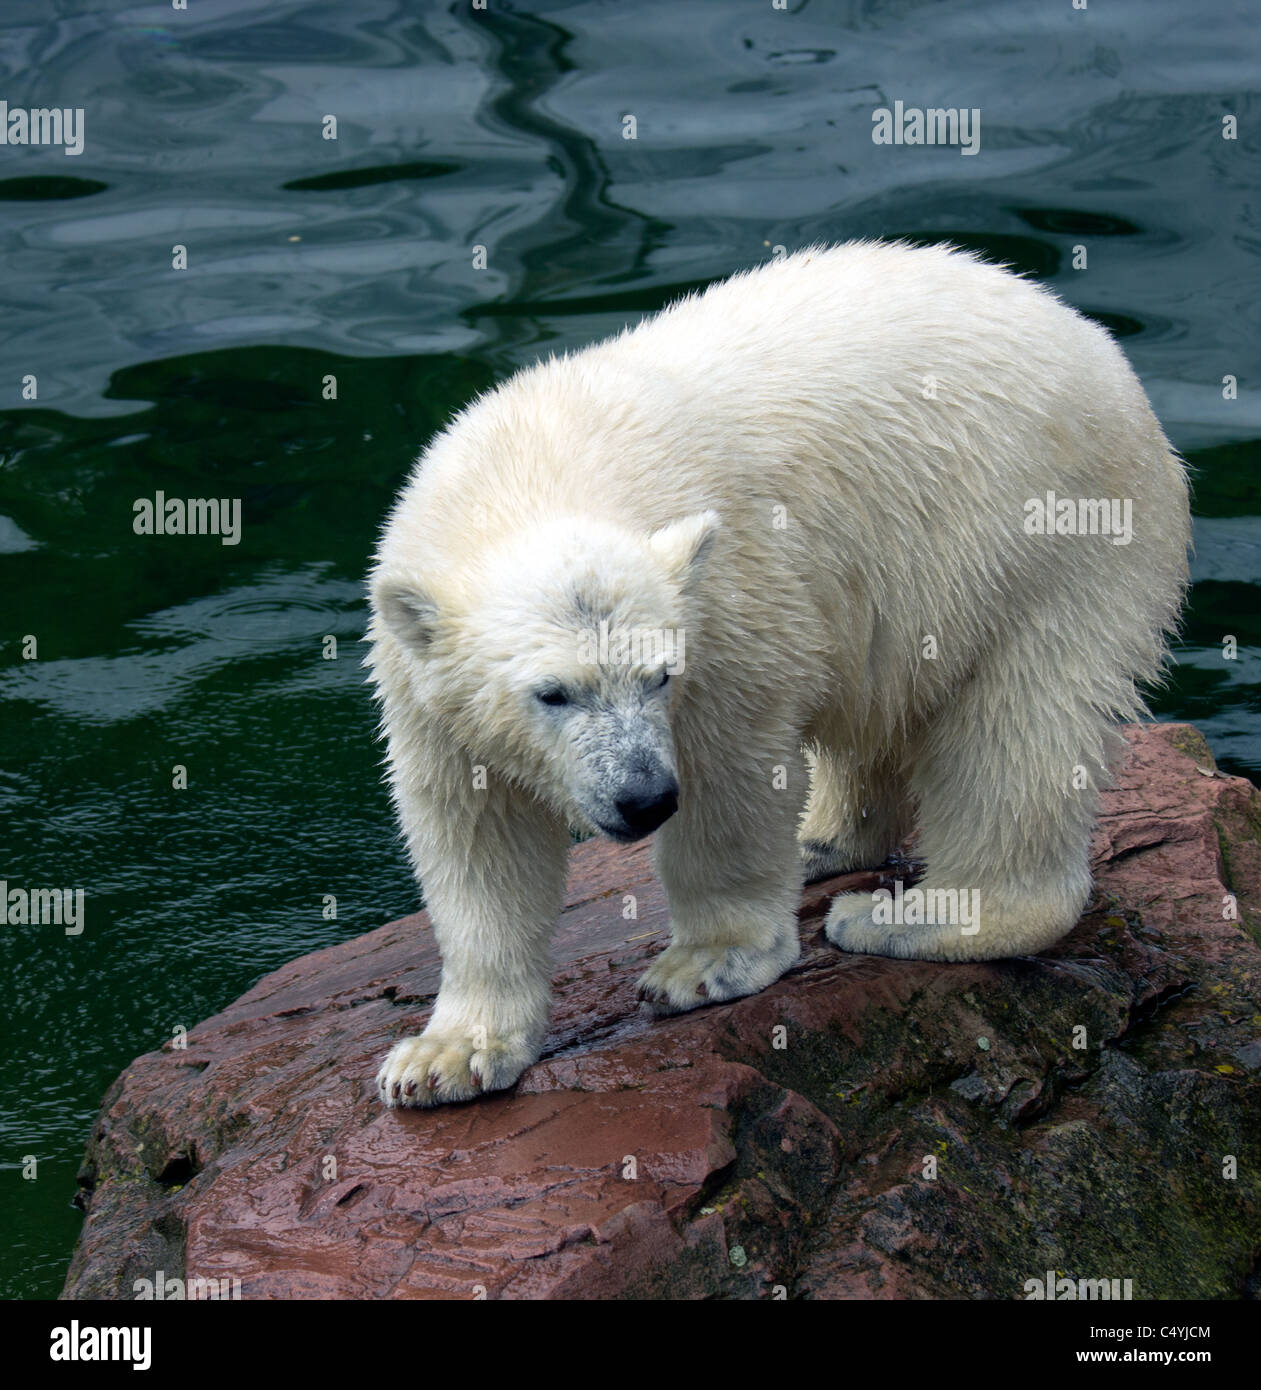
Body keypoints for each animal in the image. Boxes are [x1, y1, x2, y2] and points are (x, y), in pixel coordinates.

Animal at [368, 240, 1190, 1108]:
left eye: (658, 676)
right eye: (552, 694)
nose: (642, 797)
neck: (534, 471)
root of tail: (1098, 346)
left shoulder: (730, 600)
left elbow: (730, 772)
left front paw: (703, 964)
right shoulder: (421, 681)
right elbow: (475, 833)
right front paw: (444, 1057)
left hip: (1050, 536)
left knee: (1017, 726)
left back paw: (901, 917)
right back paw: (823, 840)